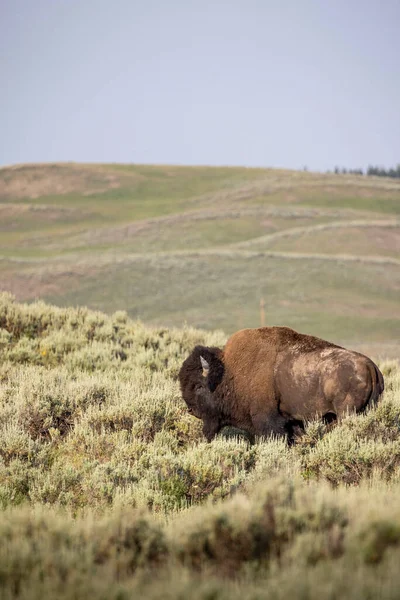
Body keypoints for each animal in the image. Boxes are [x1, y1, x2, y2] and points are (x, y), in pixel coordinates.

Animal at [178, 326, 384, 442]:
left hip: (345, 412)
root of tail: (370, 365)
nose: (191, 410)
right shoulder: (291, 421)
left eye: (198, 386)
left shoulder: (268, 421)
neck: (229, 372)